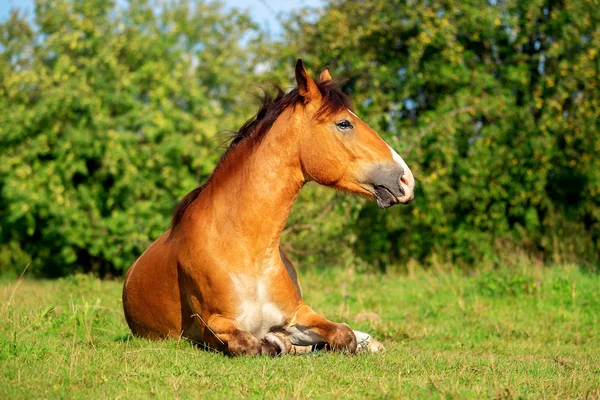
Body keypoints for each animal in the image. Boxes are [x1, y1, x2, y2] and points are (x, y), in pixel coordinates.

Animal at [120, 60, 412, 356]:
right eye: (344, 123)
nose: (406, 179)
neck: (248, 252)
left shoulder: (299, 313)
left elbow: (343, 333)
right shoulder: (212, 326)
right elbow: (250, 344)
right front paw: (276, 343)